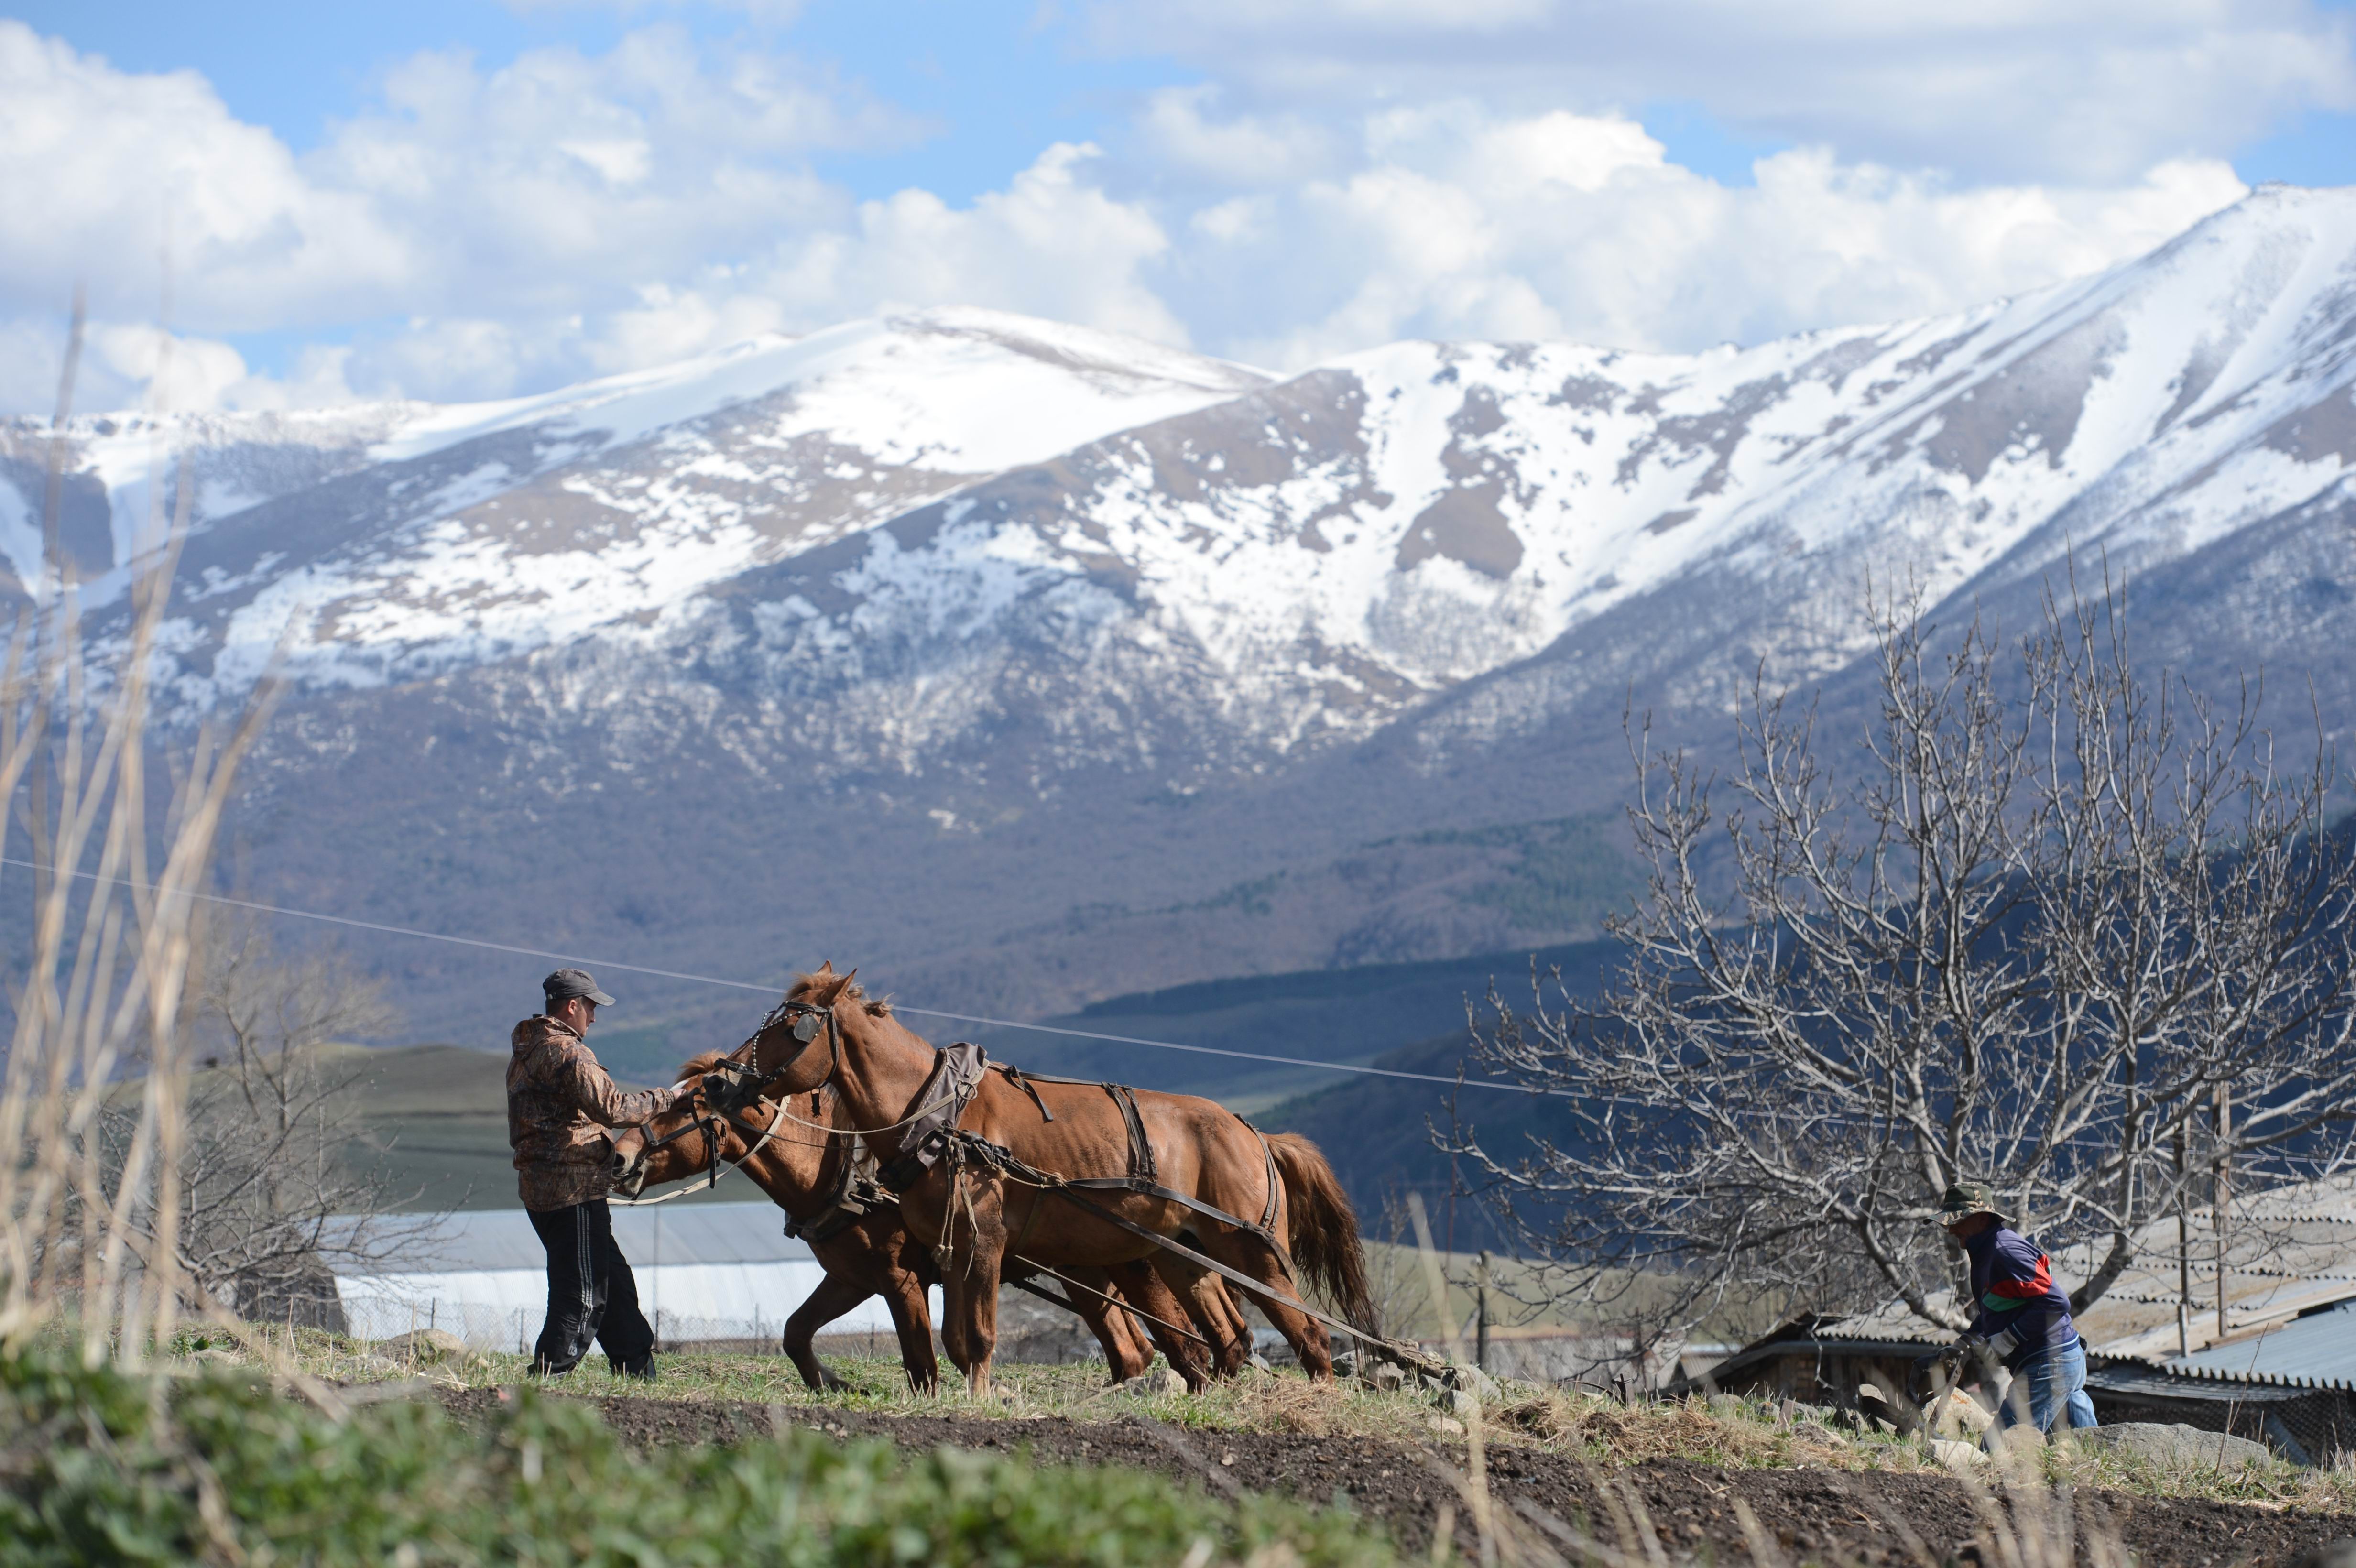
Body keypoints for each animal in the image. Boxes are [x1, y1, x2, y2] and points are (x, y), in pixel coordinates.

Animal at [598, 1055, 1168, 1384]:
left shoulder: (901, 1279)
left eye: (684, 1107)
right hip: (1086, 1273)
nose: (618, 1160)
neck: (838, 1171)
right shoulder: (851, 1277)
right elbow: (794, 1331)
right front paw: (835, 1384)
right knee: (1134, 1350)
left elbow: (922, 1365)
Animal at [744, 965, 1375, 1394]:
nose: (736, 1075)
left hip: (1250, 1250)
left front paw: (981, 1400)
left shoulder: (976, 1244)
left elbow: (973, 1339)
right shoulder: (943, 1253)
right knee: (1225, 1339)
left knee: (1306, 1336)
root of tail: (1255, 1134)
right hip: (1179, 1254)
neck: (937, 1117)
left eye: (793, 1027)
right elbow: (951, 1341)